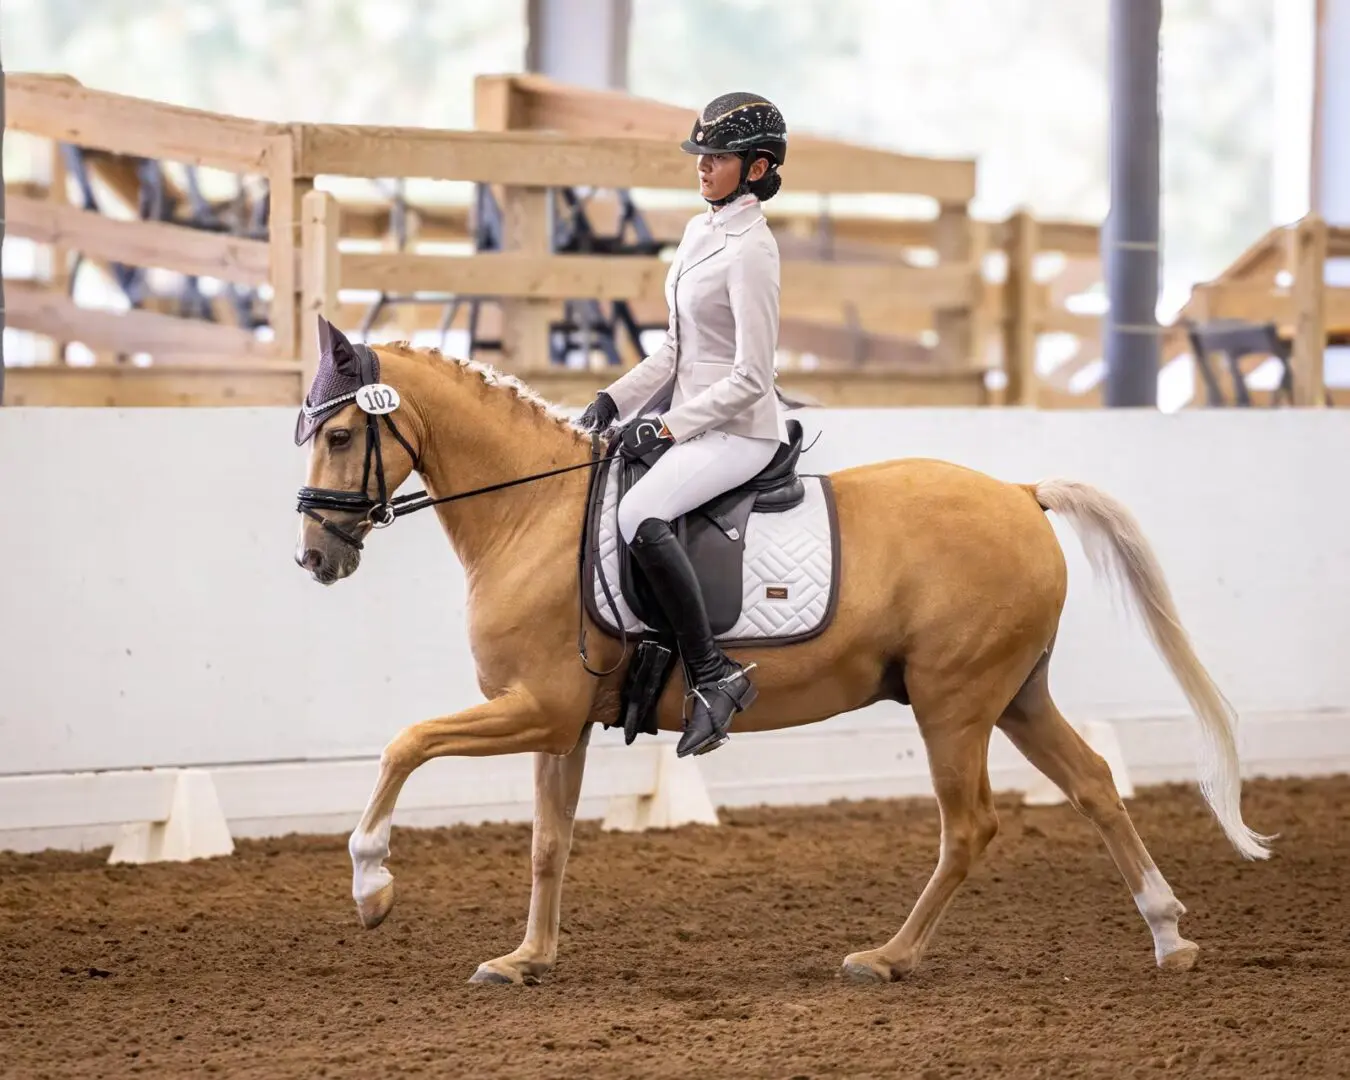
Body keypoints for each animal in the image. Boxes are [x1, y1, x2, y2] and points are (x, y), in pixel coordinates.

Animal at [295, 322, 1274, 988]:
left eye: (341, 435)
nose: (314, 558)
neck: (533, 515)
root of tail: (1020, 493)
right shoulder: (558, 724)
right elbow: (548, 842)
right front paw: (525, 958)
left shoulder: (536, 708)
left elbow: (406, 745)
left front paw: (372, 887)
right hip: (1016, 695)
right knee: (1097, 786)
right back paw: (1169, 934)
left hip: (954, 705)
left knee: (971, 827)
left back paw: (888, 957)